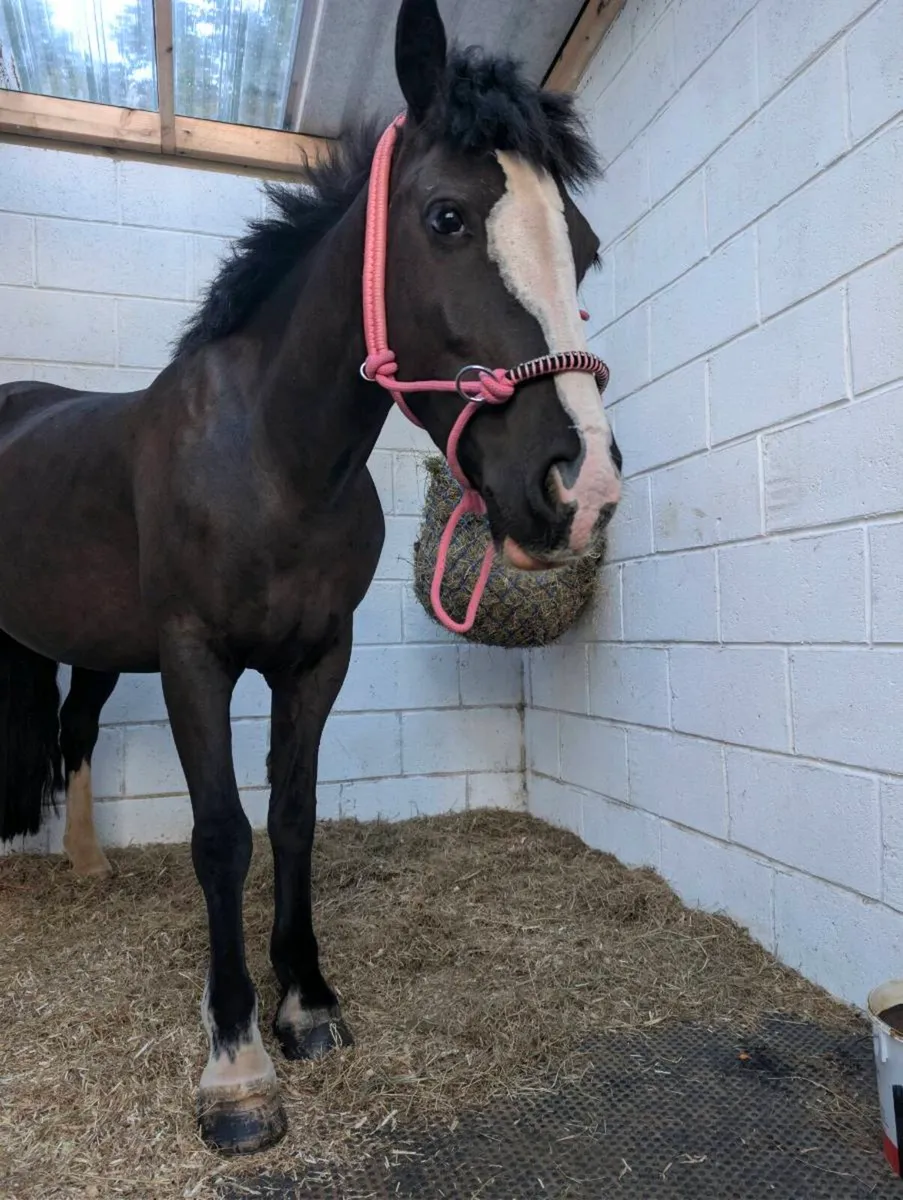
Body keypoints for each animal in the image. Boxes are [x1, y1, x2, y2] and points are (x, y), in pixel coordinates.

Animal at [0, 0, 621, 1154]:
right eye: (446, 217)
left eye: (586, 250)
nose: (582, 488)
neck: (272, 461)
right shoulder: (194, 659)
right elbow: (221, 836)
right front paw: (237, 1066)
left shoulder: (317, 657)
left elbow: (292, 816)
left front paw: (307, 1005)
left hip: (95, 649)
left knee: (74, 732)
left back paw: (91, 869)